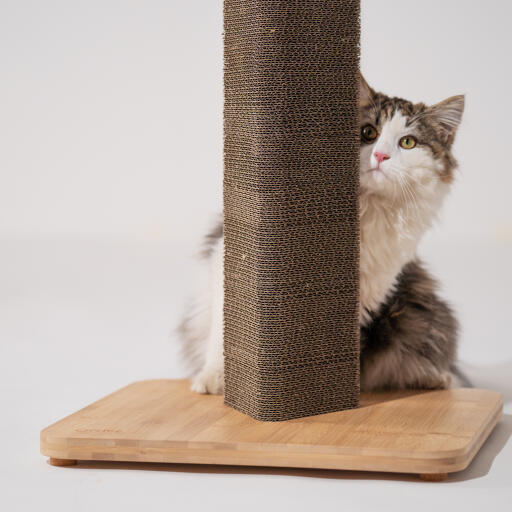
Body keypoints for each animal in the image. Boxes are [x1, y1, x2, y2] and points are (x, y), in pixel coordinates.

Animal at [177, 76, 464, 394]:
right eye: (368, 132)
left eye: (408, 142)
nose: (380, 155)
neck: (366, 212)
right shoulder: (230, 264)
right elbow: (223, 333)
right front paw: (215, 377)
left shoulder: (370, 288)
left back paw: (434, 379)